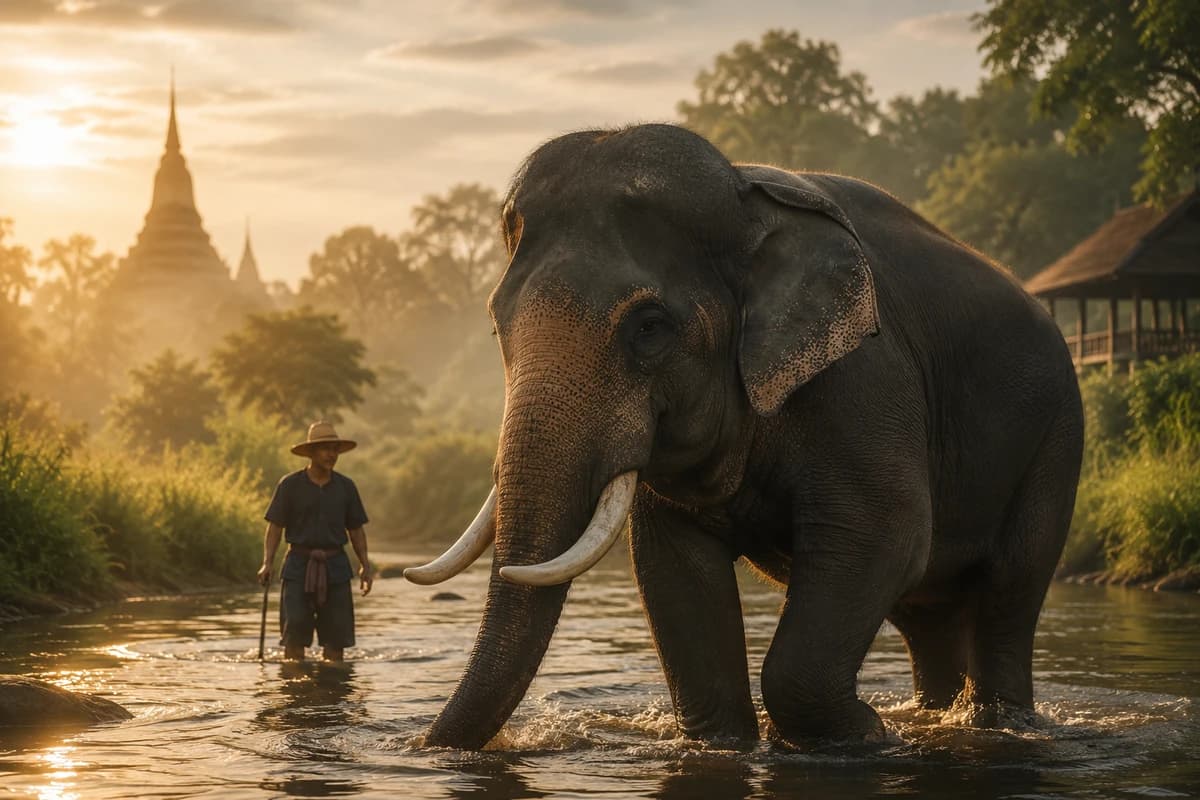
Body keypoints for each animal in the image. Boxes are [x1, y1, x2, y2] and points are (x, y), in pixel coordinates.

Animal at [404, 123, 1083, 749]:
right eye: (497, 325)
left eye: (649, 327)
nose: (420, 746)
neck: (745, 200)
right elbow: (672, 565)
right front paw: (732, 742)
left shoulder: (867, 379)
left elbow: (884, 534)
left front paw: (867, 734)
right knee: (929, 614)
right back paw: (932, 715)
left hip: (1056, 437)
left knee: (1010, 590)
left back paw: (993, 723)